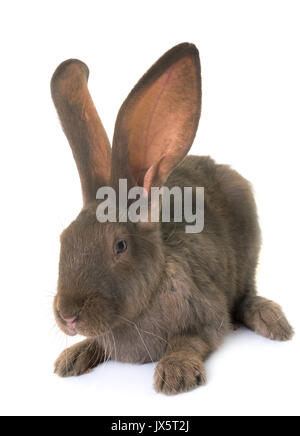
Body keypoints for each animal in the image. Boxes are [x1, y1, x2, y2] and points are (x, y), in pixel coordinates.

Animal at [50, 43, 292, 396]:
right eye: (64, 239)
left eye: (120, 246)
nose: (68, 315)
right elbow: (98, 343)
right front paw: (71, 358)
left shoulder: (207, 318)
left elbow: (187, 341)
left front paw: (176, 375)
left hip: (249, 244)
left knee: (247, 291)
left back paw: (272, 321)